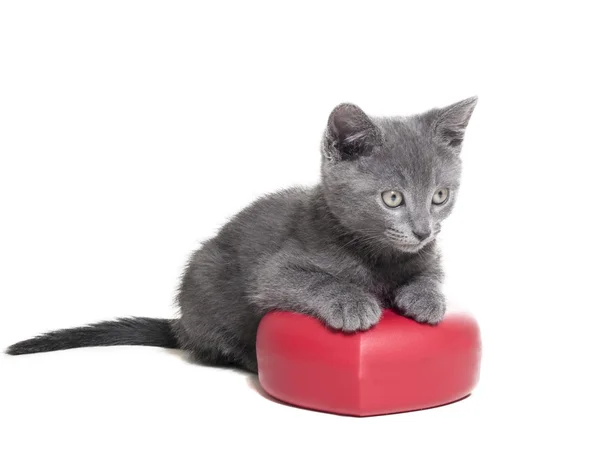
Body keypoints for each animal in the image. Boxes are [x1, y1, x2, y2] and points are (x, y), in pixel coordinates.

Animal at [7, 97, 478, 372]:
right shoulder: (274, 272)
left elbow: (430, 274)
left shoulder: (429, 254)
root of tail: (181, 325)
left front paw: (426, 298)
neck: (377, 256)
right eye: (392, 198)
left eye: (439, 196)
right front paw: (352, 301)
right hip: (204, 282)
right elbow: (314, 280)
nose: (422, 229)